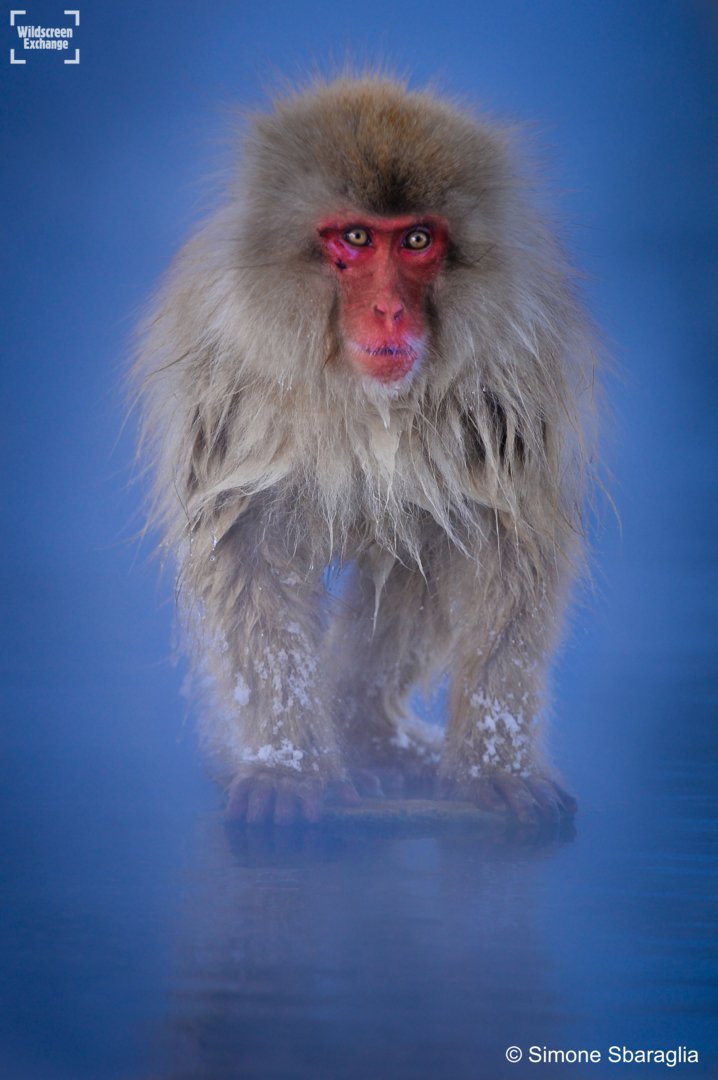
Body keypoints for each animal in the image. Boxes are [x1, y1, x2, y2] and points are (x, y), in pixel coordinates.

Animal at [134, 76, 597, 826]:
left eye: (416, 240)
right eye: (354, 237)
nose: (388, 310)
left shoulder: (506, 385)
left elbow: (503, 546)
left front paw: (493, 763)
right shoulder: (236, 384)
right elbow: (246, 548)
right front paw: (287, 768)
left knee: (423, 540)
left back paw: (365, 733)